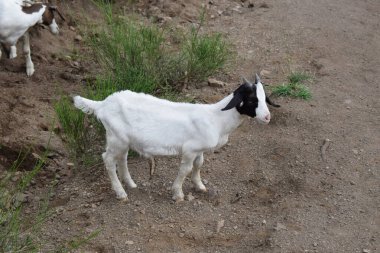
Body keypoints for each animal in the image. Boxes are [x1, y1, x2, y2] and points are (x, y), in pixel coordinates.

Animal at [73, 75, 280, 202]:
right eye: (252, 99)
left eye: (265, 98)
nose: (267, 117)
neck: (217, 118)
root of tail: (102, 105)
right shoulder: (190, 149)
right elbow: (185, 170)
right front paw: (178, 194)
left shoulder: (199, 150)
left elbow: (199, 165)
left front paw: (200, 186)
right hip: (116, 138)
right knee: (108, 159)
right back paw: (121, 192)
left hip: (123, 140)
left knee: (121, 159)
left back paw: (130, 184)